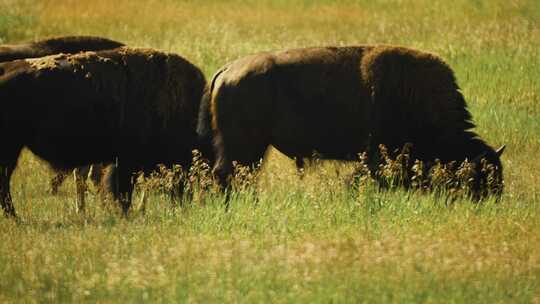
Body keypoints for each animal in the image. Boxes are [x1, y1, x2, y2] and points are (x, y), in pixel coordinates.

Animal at [0, 47, 208, 217]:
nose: (188, 203)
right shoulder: (125, 162)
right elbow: (122, 190)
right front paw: (124, 213)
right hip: (11, 148)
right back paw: (16, 218)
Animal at [198, 43, 506, 200]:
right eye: (480, 175)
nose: (494, 198)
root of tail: (226, 70)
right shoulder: (374, 157)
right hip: (245, 148)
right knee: (231, 175)